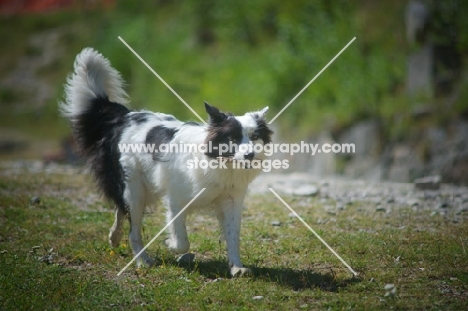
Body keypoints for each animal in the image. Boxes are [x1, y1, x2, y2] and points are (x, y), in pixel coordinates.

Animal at [62, 47, 274, 276]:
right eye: (232, 139)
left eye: (254, 137)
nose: (250, 155)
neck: (218, 163)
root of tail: (124, 117)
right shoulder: (175, 201)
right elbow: (182, 242)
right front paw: (169, 244)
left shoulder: (231, 201)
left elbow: (233, 237)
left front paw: (237, 267)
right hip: (135, 190)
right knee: (133, 228)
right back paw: (142, 261)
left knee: (121, 208)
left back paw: (114, 237)